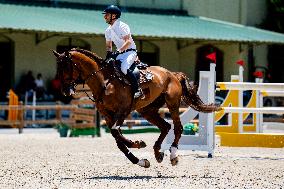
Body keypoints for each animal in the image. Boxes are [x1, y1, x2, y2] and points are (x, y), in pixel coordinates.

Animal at [53, 48, 222, 168]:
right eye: (58, 68)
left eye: (66, 67)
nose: (65, 91)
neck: (104, 82)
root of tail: (172, 74)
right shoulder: (108, 115)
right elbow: (118, 140)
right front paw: (141, 160)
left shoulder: (123, 111)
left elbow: (116, 133)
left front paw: (138, 143)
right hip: (146, 110)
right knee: (165, 126)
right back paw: (158, 153)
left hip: (172, 102)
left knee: (177, 127)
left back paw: (173, 155)